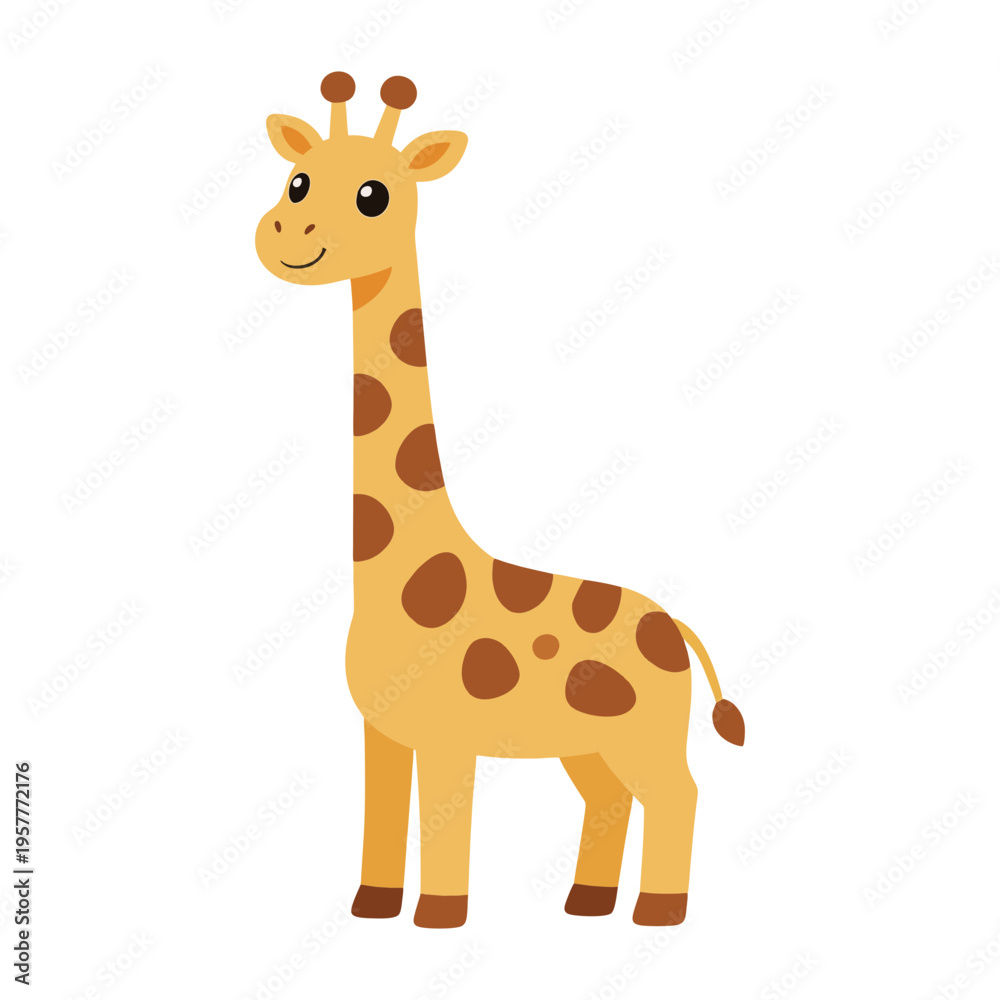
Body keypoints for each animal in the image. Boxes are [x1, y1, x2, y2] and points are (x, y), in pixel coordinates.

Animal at [254, 72, 745, 929]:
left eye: (376, 194)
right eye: (299, 180)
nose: (287, 233)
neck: (397, 579)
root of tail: (676, 628)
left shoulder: (450, 735)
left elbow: (446, 820)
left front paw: (440, 918)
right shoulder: (381, 731)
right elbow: (380, 816)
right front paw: (371, 907)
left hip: (647, 734)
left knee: (678, 793)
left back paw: (658, 912)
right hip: (588, 742)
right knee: (610, 798)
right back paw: (586, 904)